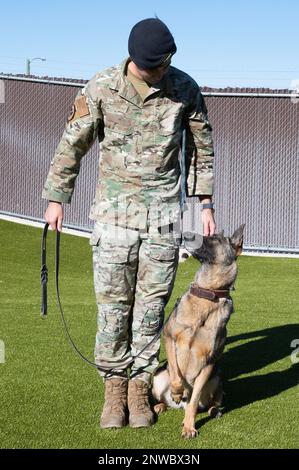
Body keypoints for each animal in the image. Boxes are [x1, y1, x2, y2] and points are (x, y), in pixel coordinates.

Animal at [152, 224, 246, 436]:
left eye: (214, 239)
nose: (184, 234)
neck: (208, 294)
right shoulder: (169, 338)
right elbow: (176, 374)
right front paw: (178, 391)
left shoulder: (209, 362)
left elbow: (193, 400)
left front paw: (189, 426)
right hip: (158, 377)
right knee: (163, 396)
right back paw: (161, 405)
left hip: (217, 378)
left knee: (212, 402)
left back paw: (213, 411)